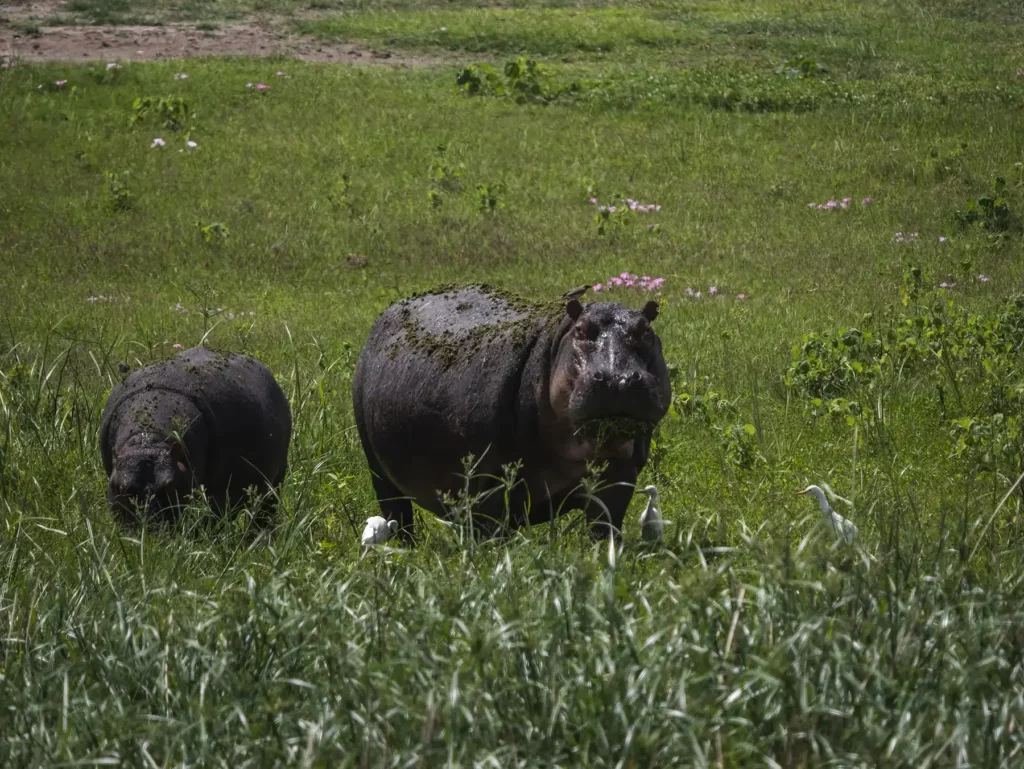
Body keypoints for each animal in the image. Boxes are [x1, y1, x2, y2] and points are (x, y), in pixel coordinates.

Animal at [99, 346, 292, 533]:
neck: (148, 439)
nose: (149, 534)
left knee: (264, 511)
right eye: (121, 488)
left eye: (170, 485)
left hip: (275, 481)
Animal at [352, 284, 672, 541]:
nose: (618, 378)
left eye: (645, 330)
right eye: (580, 330)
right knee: (397, 514)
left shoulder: (621, 473)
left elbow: (604, 527)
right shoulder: (489, 481)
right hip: (378, 468)